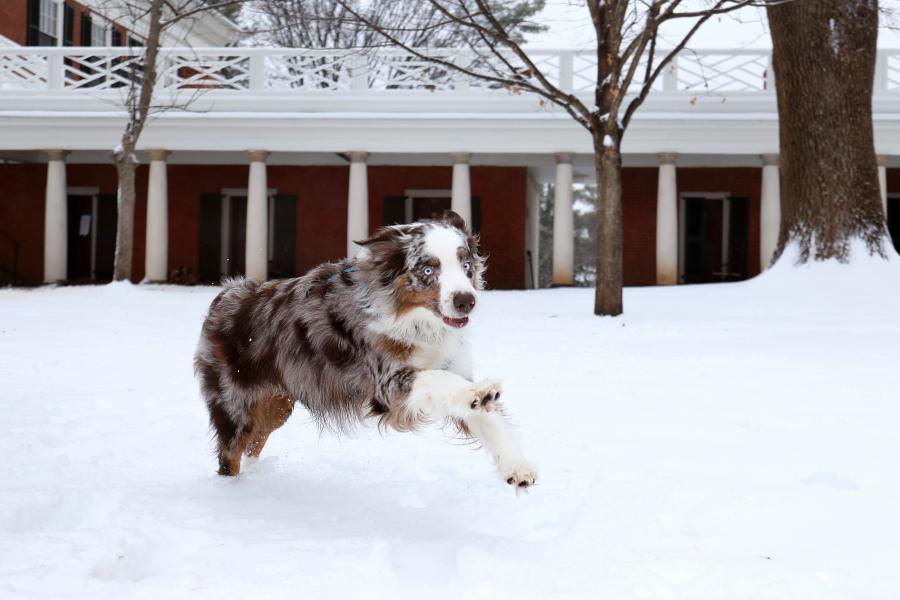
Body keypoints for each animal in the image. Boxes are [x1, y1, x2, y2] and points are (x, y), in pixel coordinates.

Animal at [194, 210, 536, 488]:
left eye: (466, 265)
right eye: (428, 270)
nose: (467, 301)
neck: (417, 320)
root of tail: (226, 294)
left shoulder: (453, 365)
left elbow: (488, 419)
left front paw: (516, 466)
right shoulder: (388, 382)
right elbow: (440, 381)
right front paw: (478, 393)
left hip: (277, 404)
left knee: (256, 442)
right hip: (236, 405)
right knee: (230, 455)